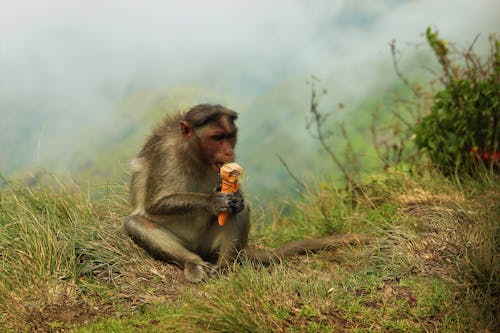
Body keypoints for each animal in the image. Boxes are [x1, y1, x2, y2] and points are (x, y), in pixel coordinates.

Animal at [121, 103, 364, 280]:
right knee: (135, 224)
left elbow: (239, 199)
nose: (229, 152)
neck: (194, 155)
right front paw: (213, 201)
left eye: (230, 136)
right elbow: (155, 203)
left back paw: (225, 267)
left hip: (210, 245)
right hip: (189, 245)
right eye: (217, 137)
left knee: (240, 209)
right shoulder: (167, 152)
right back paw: (193, 263)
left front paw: (233, 198)